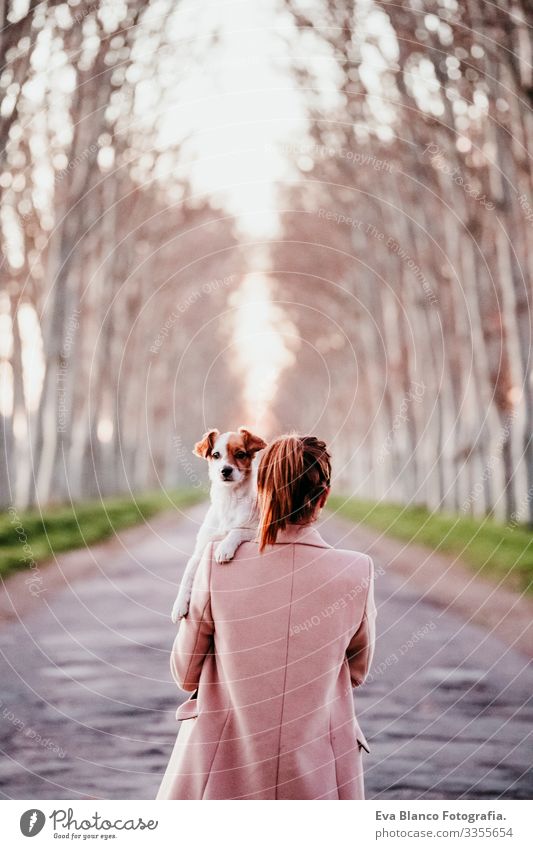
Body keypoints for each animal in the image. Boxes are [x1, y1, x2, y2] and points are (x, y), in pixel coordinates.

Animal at [170, 428, 266, 620]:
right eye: (216, 455)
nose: (225, 470)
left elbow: (236, 531)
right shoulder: (201, 548)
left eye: (240, 454)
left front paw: (224, 548)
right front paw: (179, 604)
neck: (229, 499)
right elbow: (188, 571)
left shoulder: (257, 530)